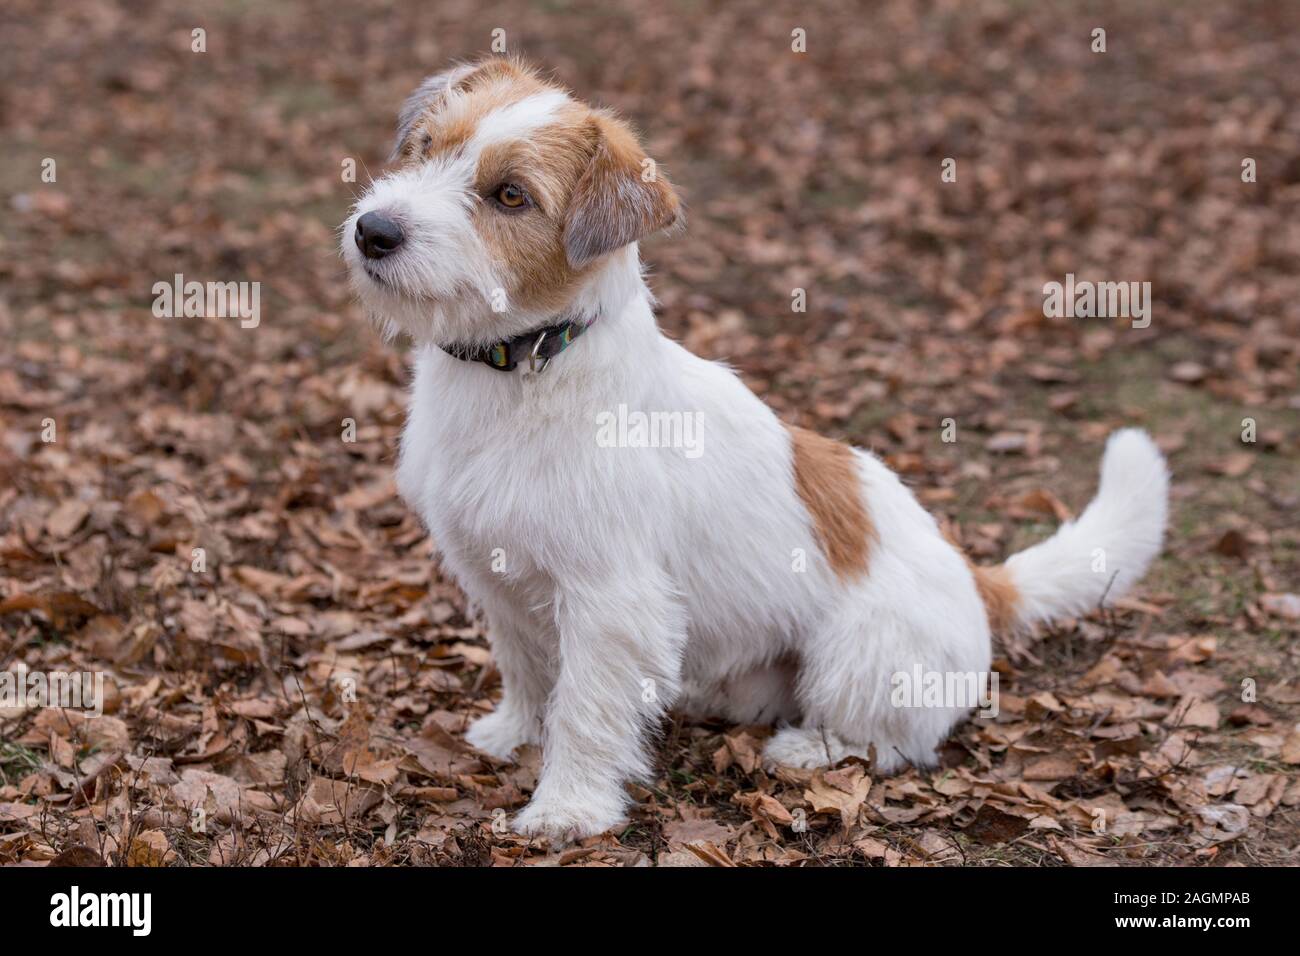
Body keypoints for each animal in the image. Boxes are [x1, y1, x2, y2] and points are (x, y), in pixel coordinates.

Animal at [340, 55, 1175, 842]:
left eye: (511, 196)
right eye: (425, 147)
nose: (373, 231)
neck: (524, 368)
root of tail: (979, 580)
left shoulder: (610, 602)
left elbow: (583, 707)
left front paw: (569, 807)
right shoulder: (499, 577)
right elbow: (526, 669)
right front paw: (514, 735)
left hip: (859, 658)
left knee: (893, 743)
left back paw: (809, 748)